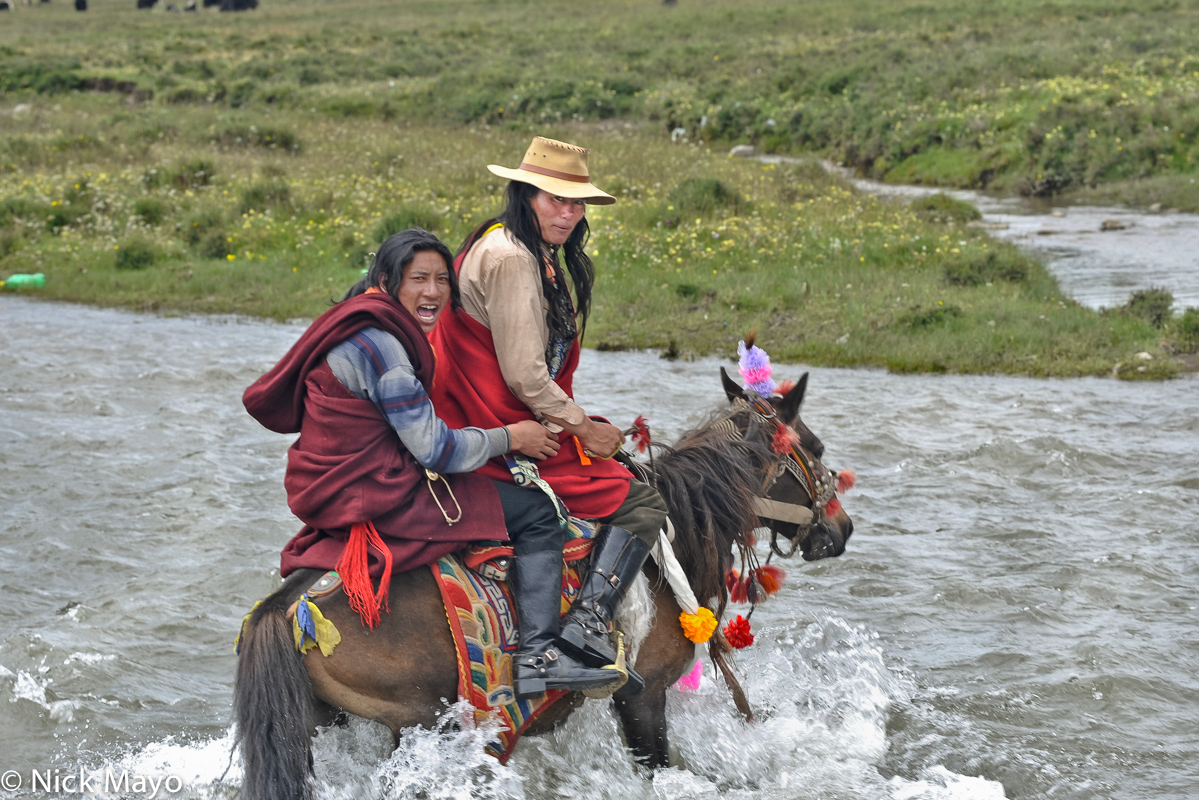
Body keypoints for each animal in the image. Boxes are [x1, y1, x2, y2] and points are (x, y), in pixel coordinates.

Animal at [233, 374, 853, 800]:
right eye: (817, 448)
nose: (841, 529)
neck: (674, 538)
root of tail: (288, 607)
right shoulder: (643, 695)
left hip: (316, 722)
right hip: (421, 722)